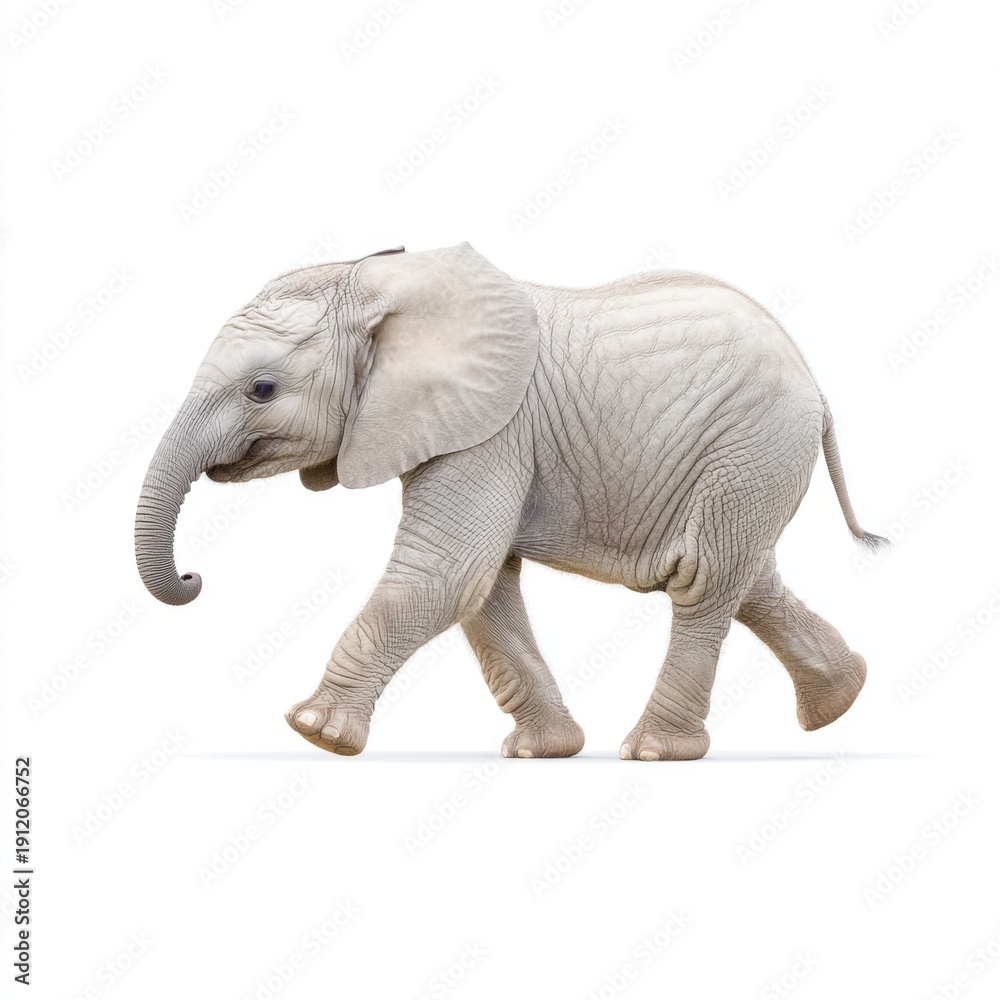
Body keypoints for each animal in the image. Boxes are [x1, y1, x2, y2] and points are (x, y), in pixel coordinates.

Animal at [135, 242, 885, 760]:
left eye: (261, 390)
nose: (194, 576)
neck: (384, 286)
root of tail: (816, 385)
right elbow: (485, 586)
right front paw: (539, 753)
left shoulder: (493, 429)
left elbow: (448, 573)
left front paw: (314, 731)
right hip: (748, 463)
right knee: (745, 577)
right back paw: (843, 701)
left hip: (752, 446)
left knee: (704, 581)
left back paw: (654, 753)